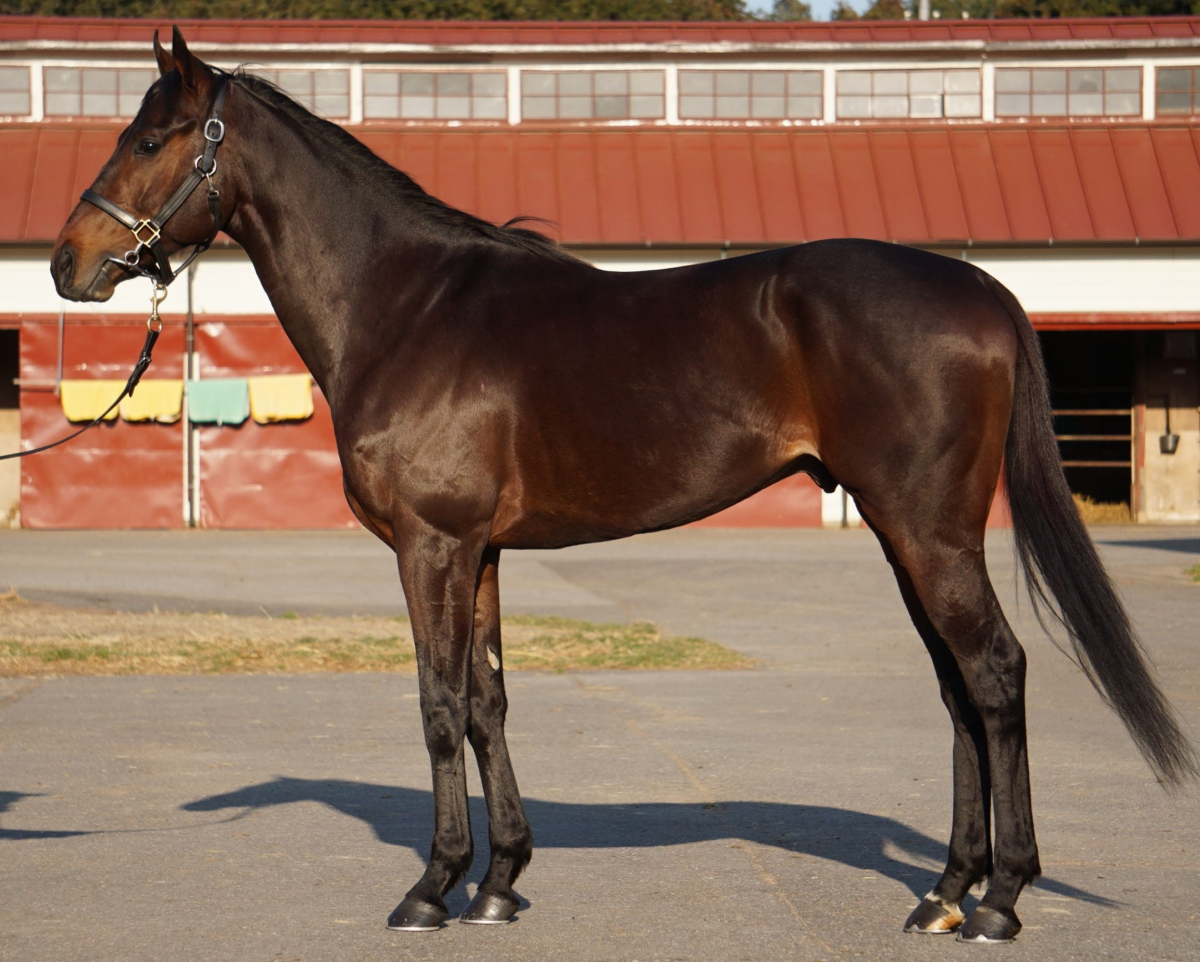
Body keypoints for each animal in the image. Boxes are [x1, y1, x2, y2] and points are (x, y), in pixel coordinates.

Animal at [51, 27, 1196, 944]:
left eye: (149, 141)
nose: (68, 262)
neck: (408, 305)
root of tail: (982, 285)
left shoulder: (431, 544)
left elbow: (437, 702)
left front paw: (431, 886)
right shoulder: (481, 551)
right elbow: (489, 700)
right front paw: (499, 882)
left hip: (929, 531)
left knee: (995, 674)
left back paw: (1000, 899)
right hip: (904, 532)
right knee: (959, 688)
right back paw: (944, 893)